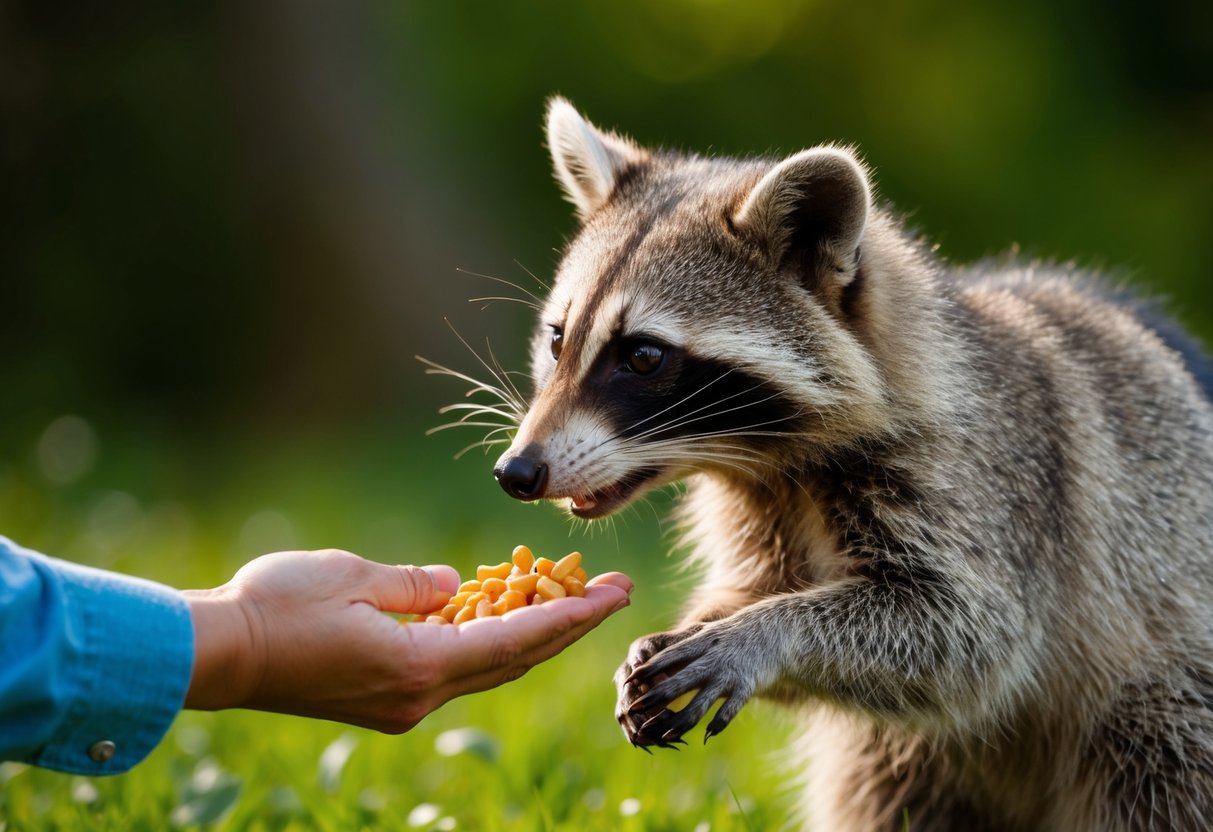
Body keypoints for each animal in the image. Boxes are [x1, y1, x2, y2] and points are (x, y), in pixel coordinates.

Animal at [485, 98, 1213, 830]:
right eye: (558, 339)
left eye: (642, 356)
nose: (516, 473)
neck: (771, 462)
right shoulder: (759, 510)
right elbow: (761, 586)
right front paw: (707, 617)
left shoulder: (992, 489)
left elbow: (972, 633)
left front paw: (764, 632)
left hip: (1167, 686)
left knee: (1160, 771)